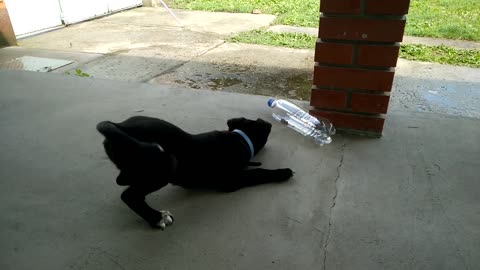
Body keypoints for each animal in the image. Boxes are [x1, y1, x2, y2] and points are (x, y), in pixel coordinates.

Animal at [97, 116, 292, 230]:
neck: (239, 138)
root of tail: (117, 126)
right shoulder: (230, 180)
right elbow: (258, 172)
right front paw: (282, 172)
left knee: (123, 182)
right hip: (165, 165)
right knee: (129, 195)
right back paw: (157, 218)